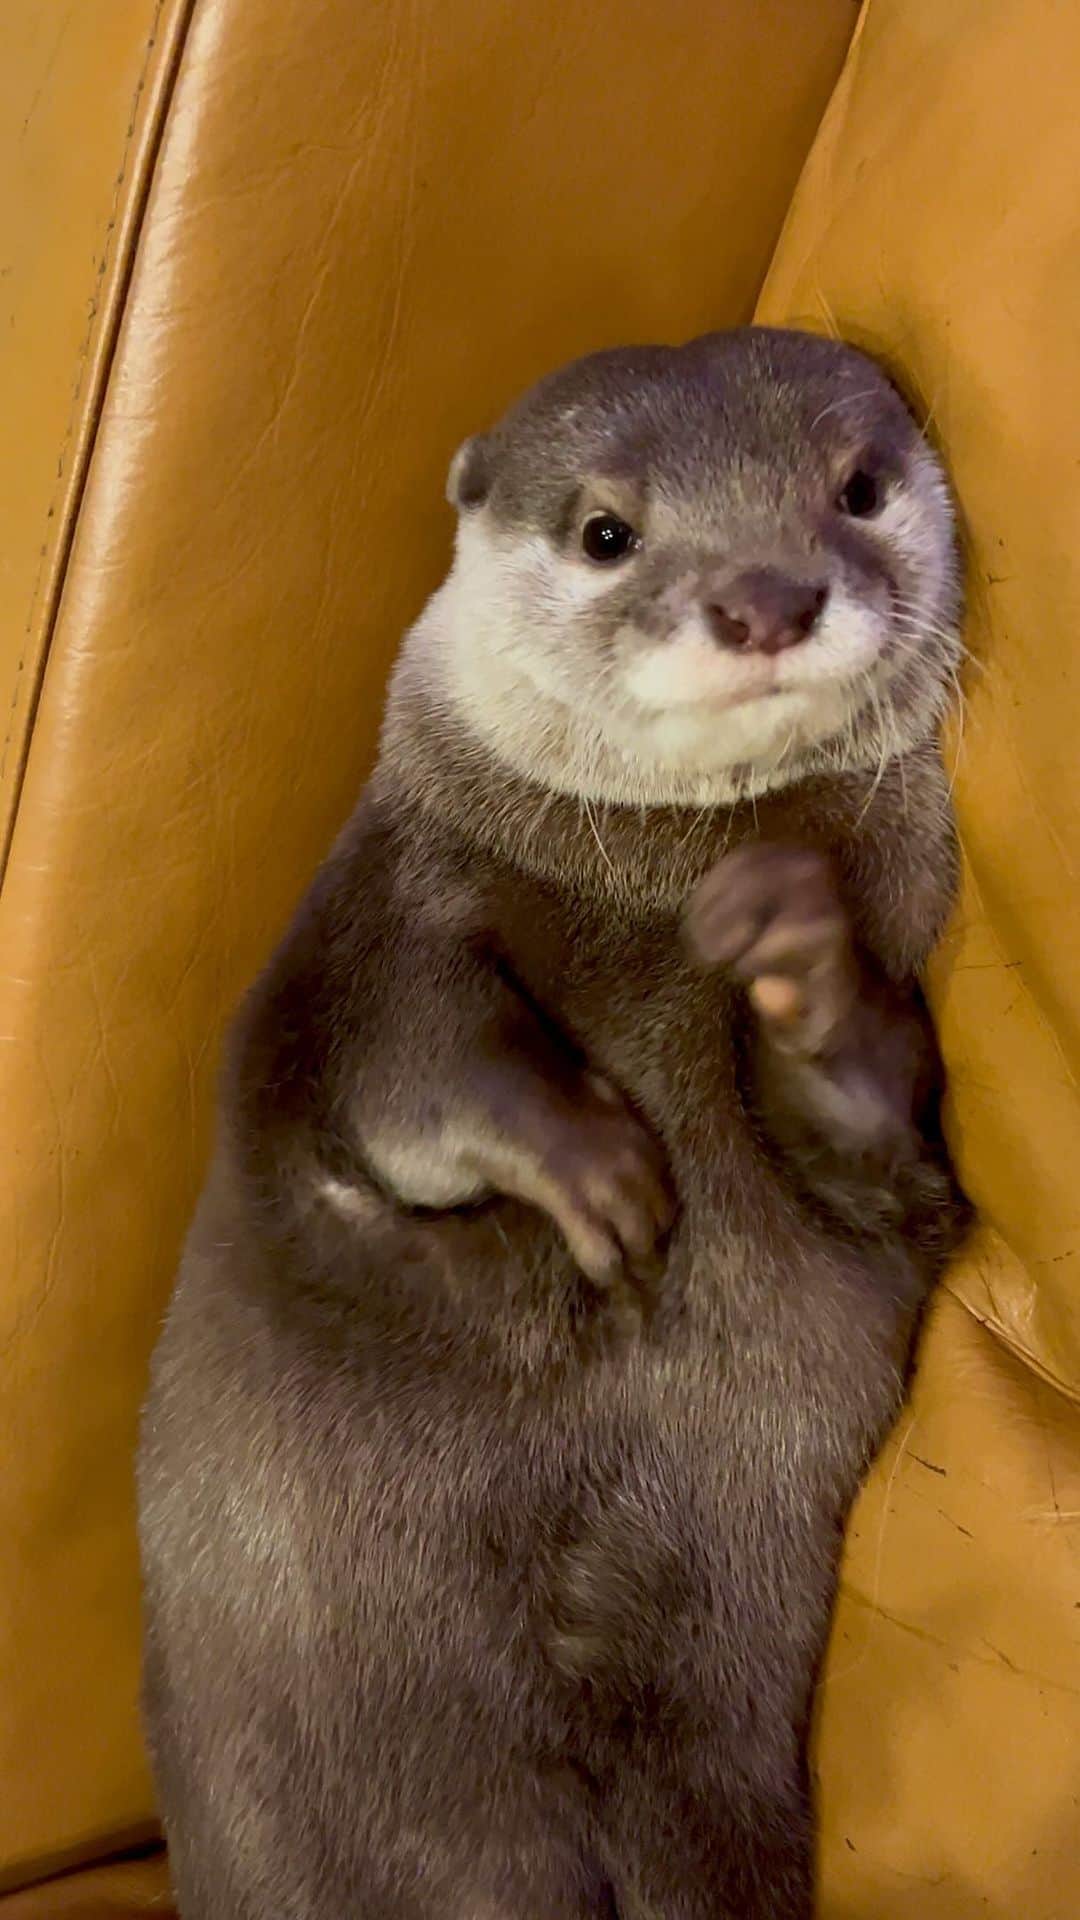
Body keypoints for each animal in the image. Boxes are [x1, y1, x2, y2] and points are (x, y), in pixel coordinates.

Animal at [138, 327, 970, 1919]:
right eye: (605, 533)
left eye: (857, 486)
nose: (765, 598)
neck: (642, 877)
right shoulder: (385, 911)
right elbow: (419, 1067)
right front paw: (598, 1175)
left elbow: (876, 1155)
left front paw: (800, 958)